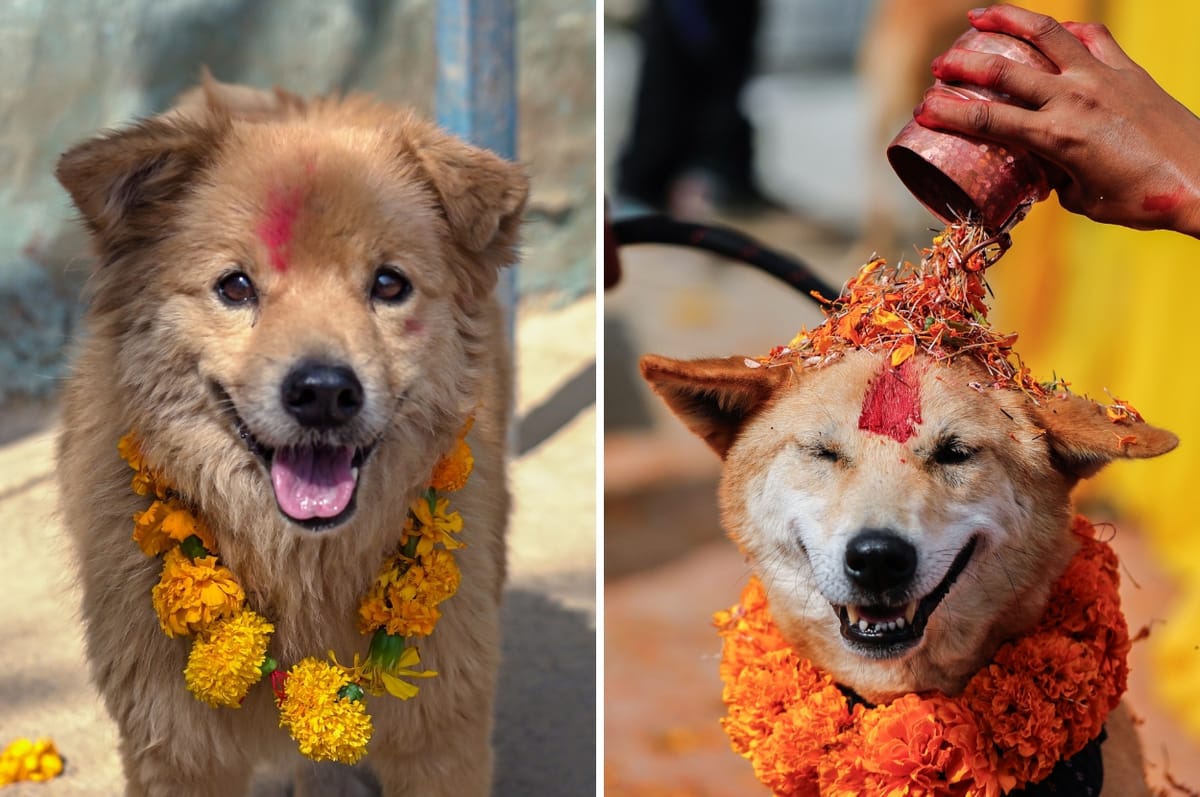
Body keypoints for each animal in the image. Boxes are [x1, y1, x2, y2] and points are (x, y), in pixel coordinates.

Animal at [56, 76, 525, 797]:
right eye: (234, 286)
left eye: (389, 283)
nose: (324, 392)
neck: (298, 569)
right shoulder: (174, 748)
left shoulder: (442, 736)